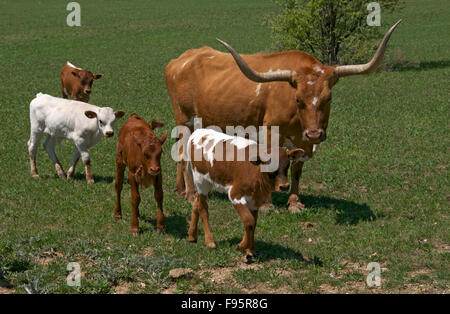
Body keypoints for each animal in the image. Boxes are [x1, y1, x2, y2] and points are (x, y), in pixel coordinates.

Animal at [186, 128, 306, 260]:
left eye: (287, 165)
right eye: (269, 165)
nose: (284, 186)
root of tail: (198, 131)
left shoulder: (255, 201)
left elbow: (253, 223)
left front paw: (250, 250)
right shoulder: (235, 194)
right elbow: (249, 221)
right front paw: (242, 246)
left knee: (196, 202)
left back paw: (192, 235)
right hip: (201, 180)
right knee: (203, 208)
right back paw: (209, 241)